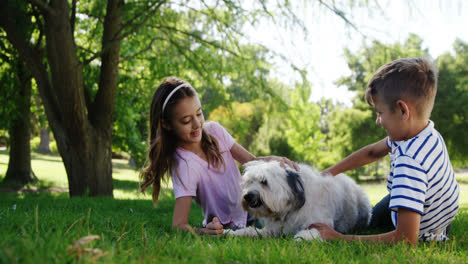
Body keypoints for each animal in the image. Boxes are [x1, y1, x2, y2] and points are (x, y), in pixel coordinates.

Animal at [225, 160, 372, 240]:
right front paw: (230, 232)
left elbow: (315, 230)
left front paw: (304, 237)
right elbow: (250, 231)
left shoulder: (319, 222)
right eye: (250, 181)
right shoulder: (271, 231)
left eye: (264, 182)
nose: (247, 196)